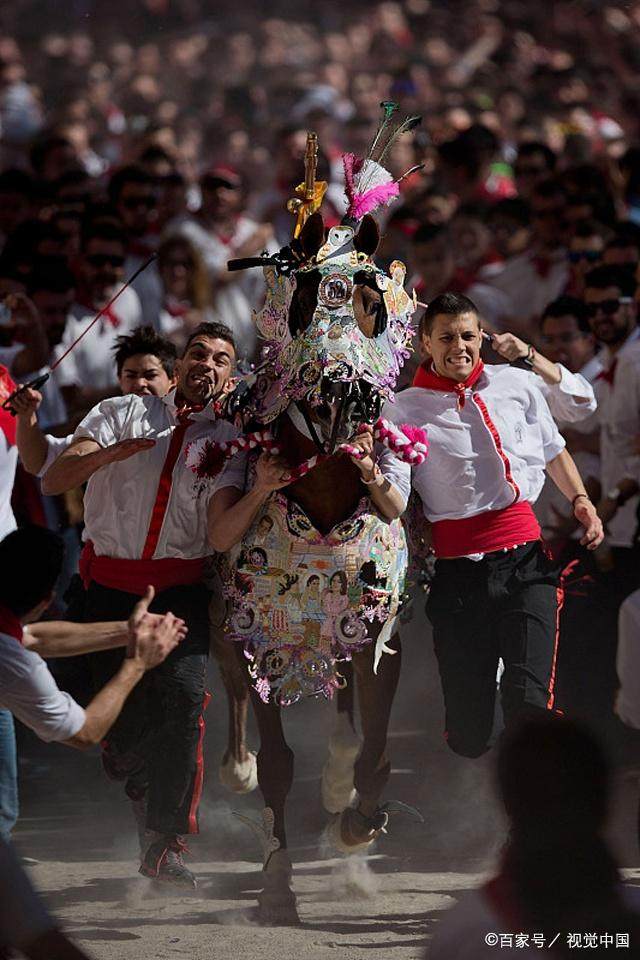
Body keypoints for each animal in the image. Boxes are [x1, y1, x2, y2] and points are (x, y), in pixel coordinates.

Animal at [191, 112, 430, 924]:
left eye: (372, 302)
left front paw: (357, 821)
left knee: (348, 719)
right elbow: (277, 761)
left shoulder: (379, 625)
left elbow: (377, 746)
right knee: (233, 698)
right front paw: (276, 882)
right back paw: (234, 766)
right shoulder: (260, 626)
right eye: (300, 300)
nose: (341, 393)